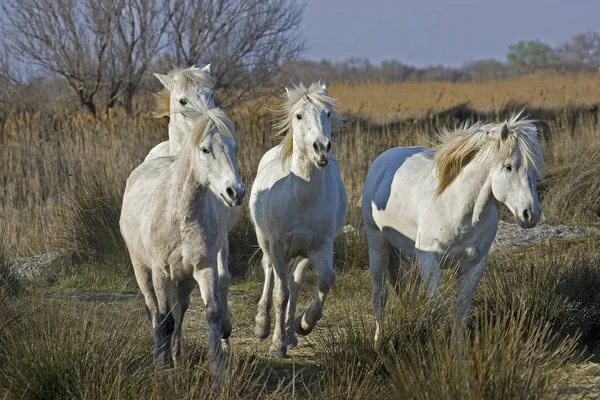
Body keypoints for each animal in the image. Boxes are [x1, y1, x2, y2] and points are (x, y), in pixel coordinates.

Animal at [120, 107, 245, 378]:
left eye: (233, 147)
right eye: (205, 149)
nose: (235, 192)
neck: (179, 218)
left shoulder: (204, 268)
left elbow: (212, 313)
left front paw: (217, 375)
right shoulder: (160, 273)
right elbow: (164, 320)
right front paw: (162, 373)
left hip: (184, 280)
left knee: (180, 312)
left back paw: (178, 357)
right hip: (142, 270)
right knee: (156, 313)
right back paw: (164, 357)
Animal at [251, 82, 350, 356]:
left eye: (327, 113)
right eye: (298, 116)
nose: (321, 148)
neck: (301, 199)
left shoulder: (320, 246)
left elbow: (325, 280)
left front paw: (303, 324)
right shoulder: (277, 247)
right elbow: (279, 294)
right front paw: (276, 345)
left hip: (301, 253)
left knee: (295, 282)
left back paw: (291, 334)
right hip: (266, 242)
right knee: (269, 271)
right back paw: (262, 325)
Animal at [360, 112, 544, 340]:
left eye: (535, 168)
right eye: (508, 166)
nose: (531, 214)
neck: (457, 209)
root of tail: (383, 159)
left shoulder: (474, 265)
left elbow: (460, 312)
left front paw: (456, 349)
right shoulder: (430, 260)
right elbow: (439, 306)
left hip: (407, 255)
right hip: (378, 247)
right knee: (380, 296)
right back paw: (379, 340)